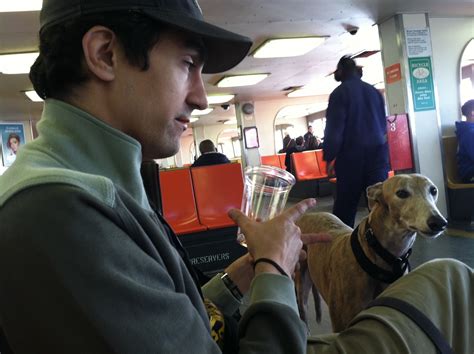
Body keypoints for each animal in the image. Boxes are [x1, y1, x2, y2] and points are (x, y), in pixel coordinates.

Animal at [296, 174, 448, 332]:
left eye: (433, 190)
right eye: (401, 193)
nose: (439, 222)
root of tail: (310, 214)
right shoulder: (341, 326)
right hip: (302, 285)